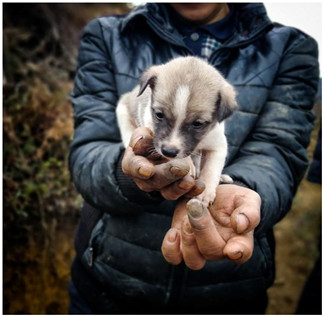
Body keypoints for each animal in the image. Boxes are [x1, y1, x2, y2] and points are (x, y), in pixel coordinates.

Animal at [116, 56, 235, 205]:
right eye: (159, 115)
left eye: (198, 124)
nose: (169, 152)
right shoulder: (150, 122)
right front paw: (188, 164)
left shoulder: (217, 147)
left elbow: (211, 170)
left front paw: (205, 193)